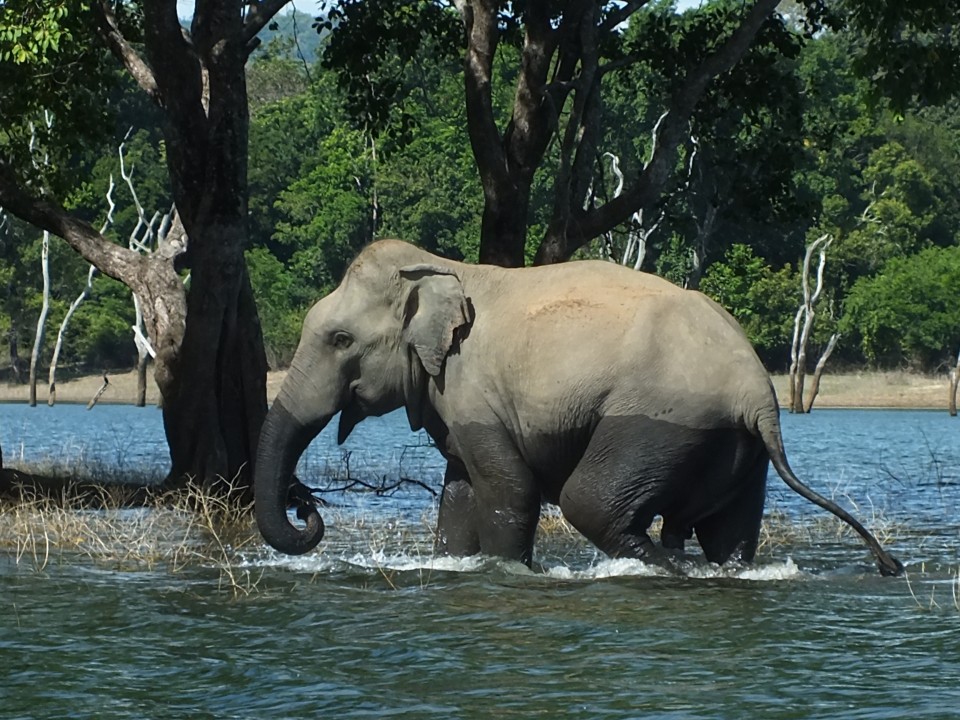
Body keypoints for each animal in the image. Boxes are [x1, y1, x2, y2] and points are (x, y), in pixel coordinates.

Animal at [254, 239, 903, 577]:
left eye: (340, 340)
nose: (304, 502)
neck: (442, 267)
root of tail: (760, 396)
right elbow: (459, 491)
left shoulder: (474, 387)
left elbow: (509, 489)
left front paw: (514, 575)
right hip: (735, 448)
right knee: (727, 534)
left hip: (656, 421)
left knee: (590, 504)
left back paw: (665, 569)